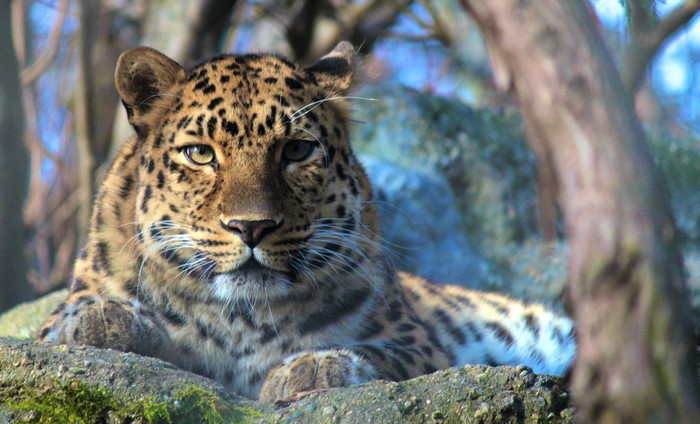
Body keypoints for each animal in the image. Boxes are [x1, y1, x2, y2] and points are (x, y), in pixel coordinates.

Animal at [37, 41, 575, 403]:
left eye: (296, 151)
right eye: (200, 154)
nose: (251, 227)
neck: (240, 320)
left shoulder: (423, 344)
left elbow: (380, 353)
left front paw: (314, 365)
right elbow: (73, 320)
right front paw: (106, 318)